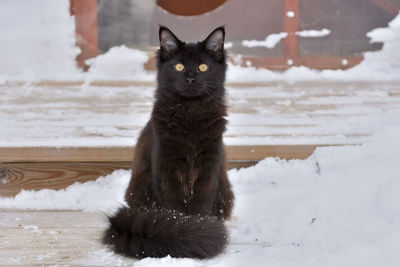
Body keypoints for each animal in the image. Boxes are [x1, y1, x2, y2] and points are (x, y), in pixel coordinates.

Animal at [103, 26, 234, 258]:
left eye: (203, 67)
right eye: (179, 66)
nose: (190, 79)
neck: (191, 115)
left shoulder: (209, 166)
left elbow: (200, 205)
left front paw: (198, 230)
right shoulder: (166, 167)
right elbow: (173, 209)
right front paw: (185, 234)